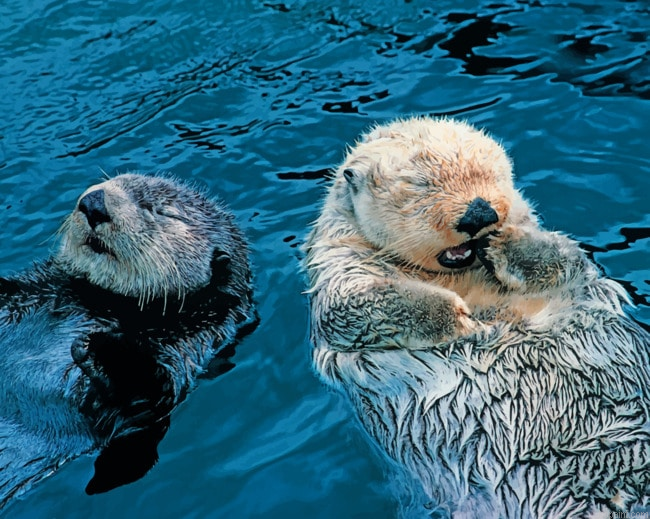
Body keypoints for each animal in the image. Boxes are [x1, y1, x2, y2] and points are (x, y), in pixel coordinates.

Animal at [0, 173, 255, 509]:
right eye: (111, 181)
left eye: (162, 211)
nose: (94, 202)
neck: (103, 303)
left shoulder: (185, 350)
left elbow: (145, 398)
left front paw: (100, 348)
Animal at [305, 117, 650, 517]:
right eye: (421, 185)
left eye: (490, 174)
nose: (480, 213)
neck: (460, 276)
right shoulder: (339, 266)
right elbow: (351, 307)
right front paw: (459, 317)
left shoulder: (569, 267)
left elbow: (566, 258)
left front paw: (503, 244)